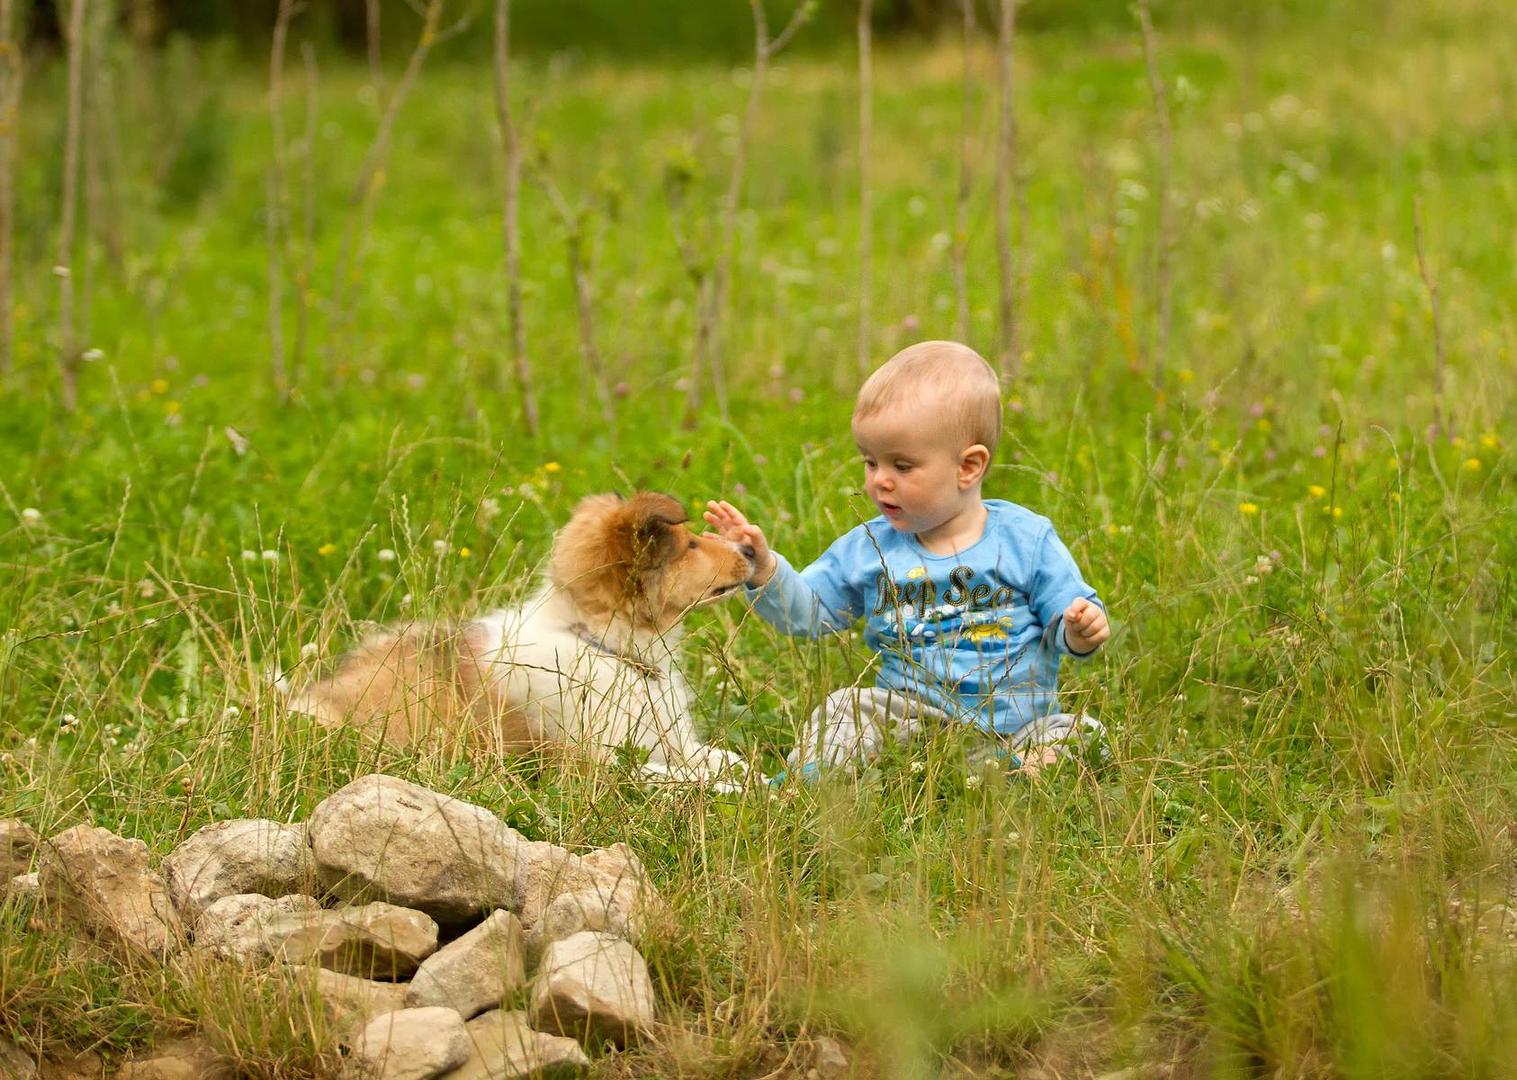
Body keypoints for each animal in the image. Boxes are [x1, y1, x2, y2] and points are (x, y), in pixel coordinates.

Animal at [285, 494, 758, 788]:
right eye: (690, 545)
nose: (751, 551)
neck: (606, 647)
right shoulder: (596, 763)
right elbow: (681, 776)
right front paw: (741, 790)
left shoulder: (667, 741)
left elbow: (719, 758)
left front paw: (742, 771)